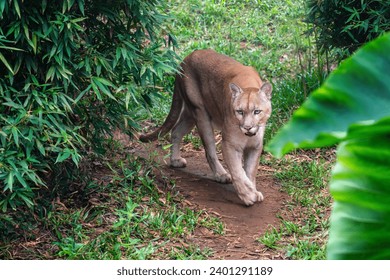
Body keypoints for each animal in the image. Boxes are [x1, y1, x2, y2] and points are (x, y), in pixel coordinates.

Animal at [139, 49, 272, 205]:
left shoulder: (255, 146)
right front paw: (247, 194)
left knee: (176, 130)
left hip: (190, 114)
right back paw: (221, 174)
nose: (247, 127)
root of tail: (185, 59)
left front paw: (253, 190)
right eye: (240, 111)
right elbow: (237, 171)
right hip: (201, 114)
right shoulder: (230, 145)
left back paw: (175, 160)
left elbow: (250, 170)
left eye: (257, 111)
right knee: (209, 151)